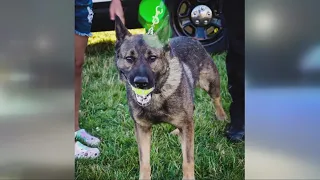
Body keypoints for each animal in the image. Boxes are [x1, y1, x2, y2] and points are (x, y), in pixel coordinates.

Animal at [114, 16, 226, 179]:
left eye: (152, 58)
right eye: (129, 58)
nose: (141, 82)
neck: (157, 95)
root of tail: (192, 38)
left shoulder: (186, 127)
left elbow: (188, 161)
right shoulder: (142, 129)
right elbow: (144, 162)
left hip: (211, 84)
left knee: (216, 100)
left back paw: (222, 117)